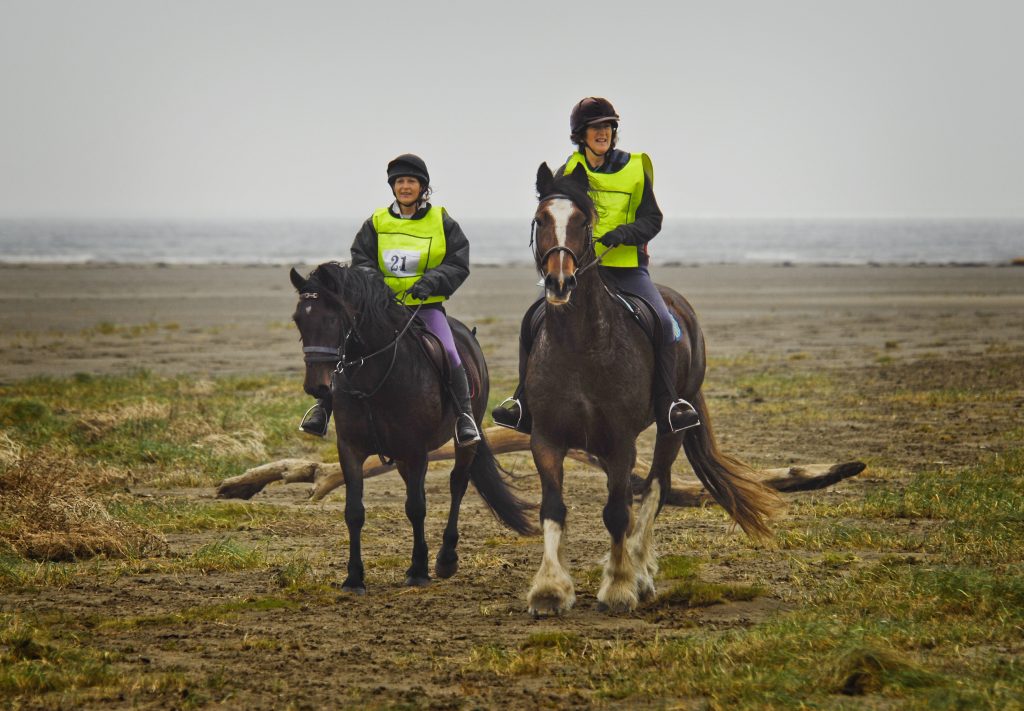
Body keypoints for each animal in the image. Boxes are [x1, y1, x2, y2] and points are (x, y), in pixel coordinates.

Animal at [290, 262, 536, 594]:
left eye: (331, 317)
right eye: (298, 319)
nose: (317, 386)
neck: (373, 379)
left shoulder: (416, 449)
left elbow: (416, 507)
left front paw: (419, 570)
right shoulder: (350, 449)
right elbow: (354, 512)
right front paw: (354, 578)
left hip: (461, 442)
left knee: (457, 484)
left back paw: (446, 559)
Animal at [524, 163, 778, 614]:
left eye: (583, 222)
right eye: (541, 219)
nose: (559, 282)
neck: (579, 344)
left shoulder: (622, 441)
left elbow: (618, 512)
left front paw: (620, 586)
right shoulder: (546, 437)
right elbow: (552, 509)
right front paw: (550, 590)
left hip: (671, 425)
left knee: (656, 487)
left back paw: (640, 573)